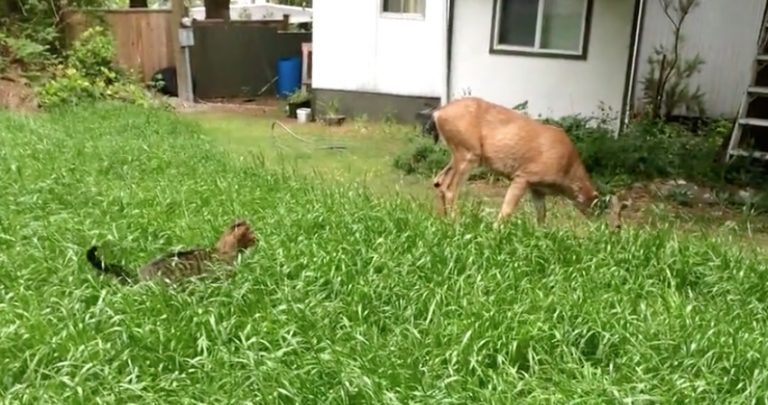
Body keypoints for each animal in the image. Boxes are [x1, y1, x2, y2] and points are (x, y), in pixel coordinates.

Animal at [420, 96, 628, 229]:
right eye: (618, 225)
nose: (614, 237)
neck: (567, 172)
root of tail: (438, 114)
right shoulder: (524, 175)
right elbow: (507, 209)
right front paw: (496, 231)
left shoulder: (538, 189)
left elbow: (542, 216)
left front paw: (541, 237)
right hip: (468, 152)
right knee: (449, 187)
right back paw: (456, 223)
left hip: (459, 153)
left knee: (438, 181)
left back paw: (445, 221)